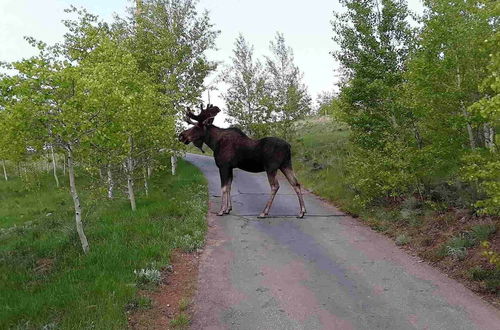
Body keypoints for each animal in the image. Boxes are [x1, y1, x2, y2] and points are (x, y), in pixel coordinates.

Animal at [178, 104, 306, 218]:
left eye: (196, 127)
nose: (181, 136)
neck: (214, 143)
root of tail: (289, 146)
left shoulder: (223, 166)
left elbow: (223, 187)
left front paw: (221, 210)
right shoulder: (230, 167)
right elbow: (229, 186)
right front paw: (228, 209)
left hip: (271, 168)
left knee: (275, 186)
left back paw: (264, 212)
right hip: (286, 165)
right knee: (296, 183)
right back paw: (302, 212)